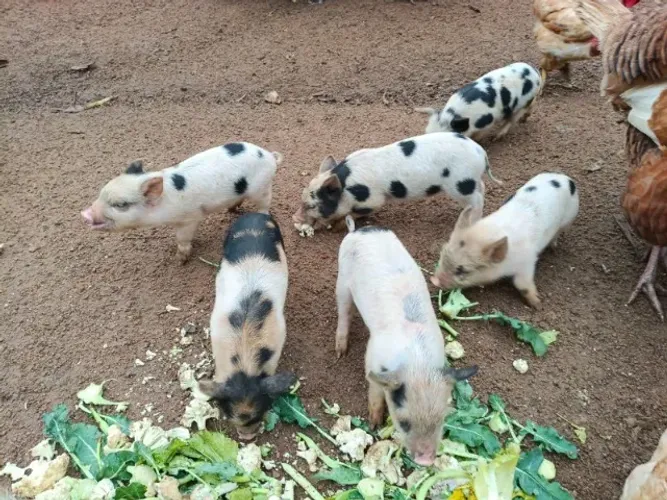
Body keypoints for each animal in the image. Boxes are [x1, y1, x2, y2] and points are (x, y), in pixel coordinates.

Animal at [81, 143, 282, 263]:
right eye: (100, 194)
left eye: (121, 205)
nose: (85, 214)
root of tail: (269, 155)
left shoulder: (189, 218)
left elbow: (183, 238)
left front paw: (179, 259)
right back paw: (231, 209)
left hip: (262, 188)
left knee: (265, 205)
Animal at [292, 132, 500, 233]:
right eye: (301, 200)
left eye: (311, 205)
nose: (295, 218)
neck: (348, 185)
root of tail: (481, 152)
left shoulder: (373, 200)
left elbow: (356, 212)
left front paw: (335, 227)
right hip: (469, 181)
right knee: (481, 188)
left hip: (460, 184)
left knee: (478, 200)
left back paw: (472, 220)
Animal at [335, 216, 478, 466]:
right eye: (404, 423)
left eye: (441, 420)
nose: (426, 461)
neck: (417, 362)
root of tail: (359, 230)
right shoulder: (372, 359)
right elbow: (374, 390)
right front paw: (374, 423)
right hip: (342, 277)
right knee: (343, 310)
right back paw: (339, 351)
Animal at [431, 173, 580, 308]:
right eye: (442, 254)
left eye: (461, 270)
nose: (434, 280)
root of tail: (567, 179)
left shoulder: (528, 262)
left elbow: (522, 284)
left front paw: (537, 304)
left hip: (568, 219)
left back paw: (553, 247)